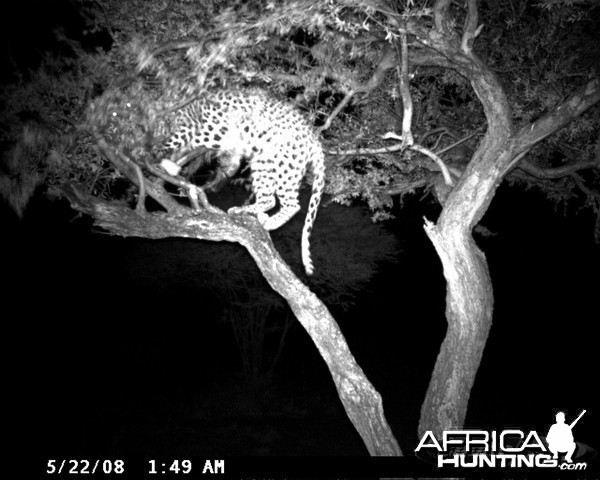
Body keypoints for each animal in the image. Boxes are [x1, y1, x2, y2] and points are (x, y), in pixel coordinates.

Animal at [159, 89, 326, 274]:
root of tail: (314, 139)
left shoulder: (206, 129)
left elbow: (174, 142)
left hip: (279, 164)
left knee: (286, 203)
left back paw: (248, 214)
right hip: (276, 165)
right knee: (273, 200)